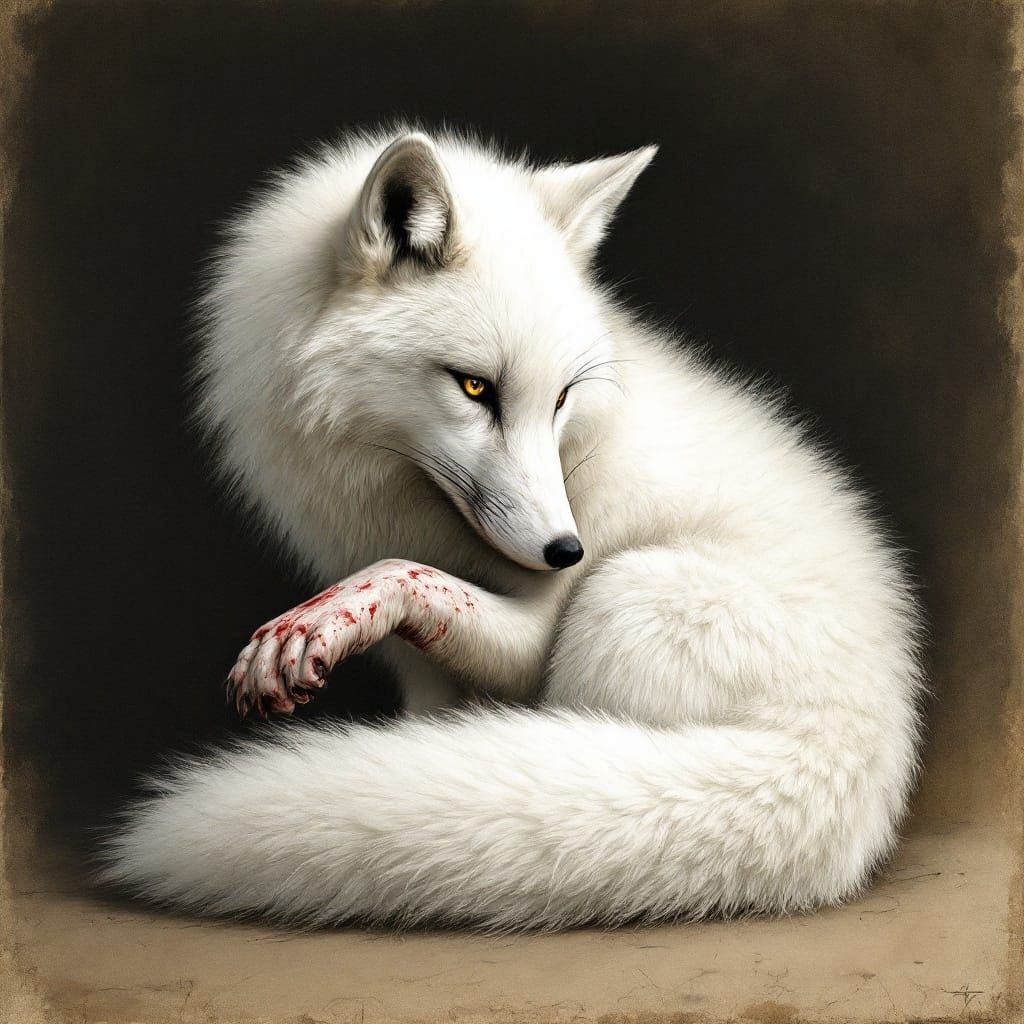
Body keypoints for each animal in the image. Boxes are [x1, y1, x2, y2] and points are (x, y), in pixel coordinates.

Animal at [98, 125, 925, 931]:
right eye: (474, 387)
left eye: (561, 397)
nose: (566, 551)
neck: (398, 492)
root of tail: (862, 761)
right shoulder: (422, 670)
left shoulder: (537, 629)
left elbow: (414, 582)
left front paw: (321, 622)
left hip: (622, 599)